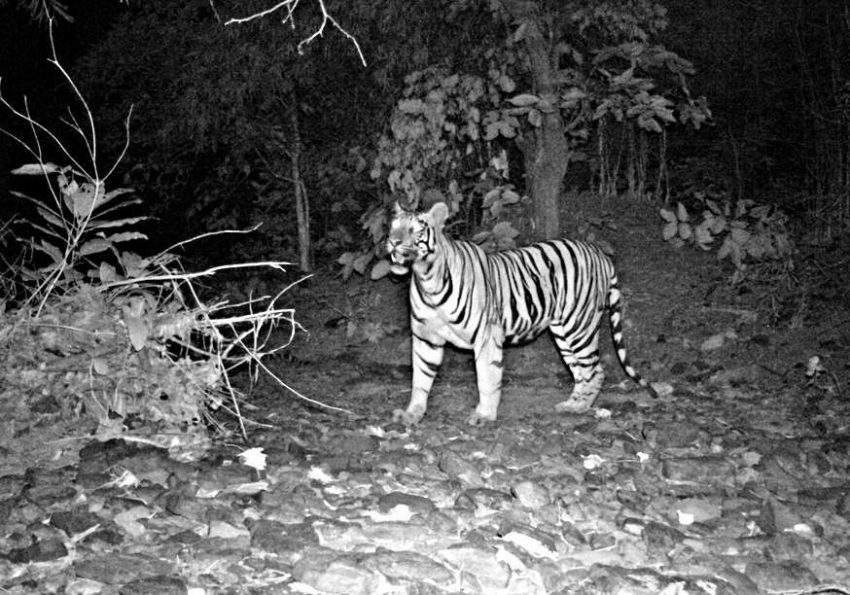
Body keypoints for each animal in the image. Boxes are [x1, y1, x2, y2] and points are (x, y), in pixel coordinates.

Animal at [386, 201, 658, 426]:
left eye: (414, 230)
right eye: (393, 227)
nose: (393, 242)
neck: (427, 278)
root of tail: (599, 253)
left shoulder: (486, 336)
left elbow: (487, 377)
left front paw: (484, 415)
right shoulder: (425, 337)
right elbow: (420, 378)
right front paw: (412, 413)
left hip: (580, 326)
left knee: (594, 369)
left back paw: (581, 407)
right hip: (563, 332)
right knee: (580, 370)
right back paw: (571, 404)